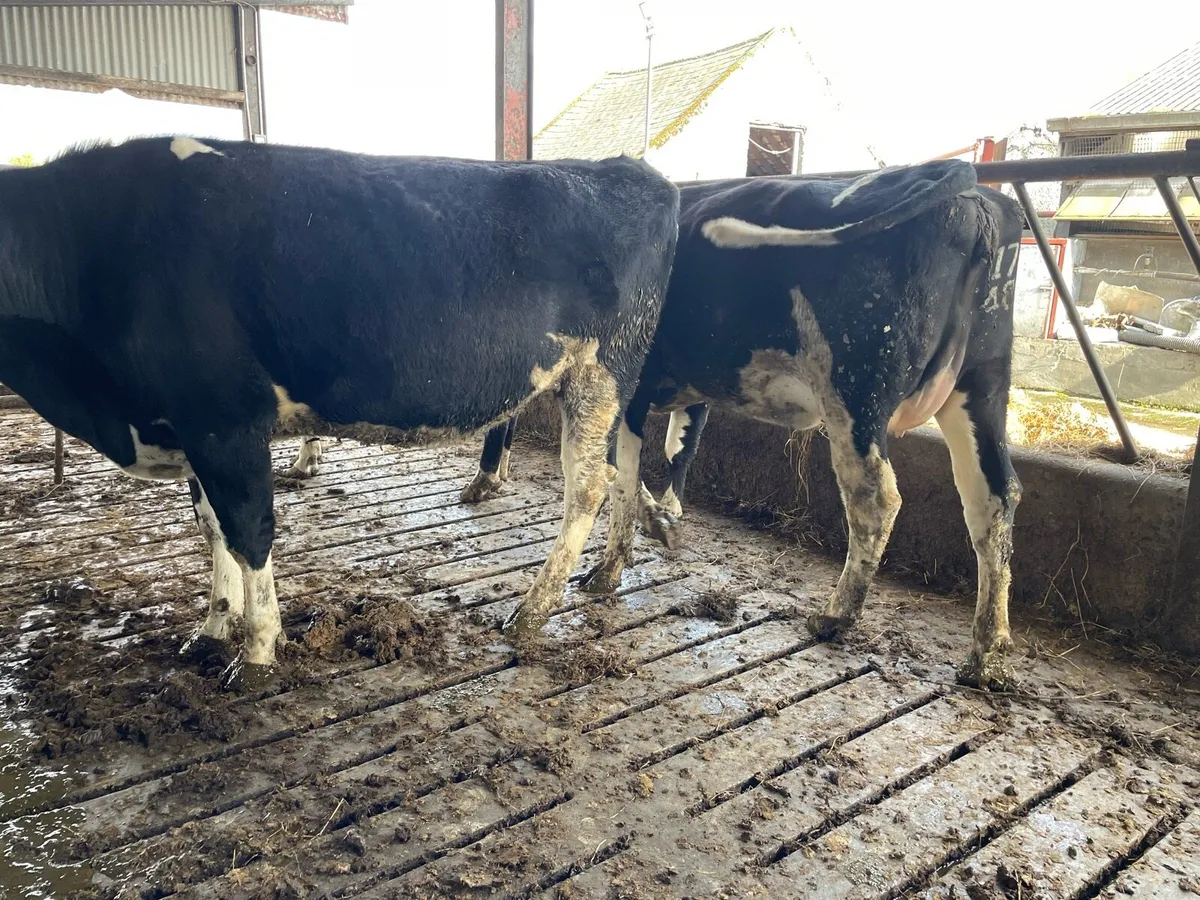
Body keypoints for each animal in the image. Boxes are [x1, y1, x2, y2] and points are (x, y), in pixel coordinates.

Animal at [0, 136, 679, 688]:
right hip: (614, 386)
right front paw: (212, 629)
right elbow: (211, 528)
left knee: (587, 487)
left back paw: (532, 610)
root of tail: (629, 168)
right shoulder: (190, 428)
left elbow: (248, 532)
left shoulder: (225, 420)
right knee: (624, 467)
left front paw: (257, 652)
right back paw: (608, 571)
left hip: (598, 371)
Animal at [463, 160, 1025, 691]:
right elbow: (659, 460)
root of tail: (972, 196)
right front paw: (641, 540)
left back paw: (836, 615)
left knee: (876, 499)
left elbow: (616, 475)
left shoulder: (619, 386)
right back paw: (988, 655)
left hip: (856, 391)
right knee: (994, 500)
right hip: (981, 386)